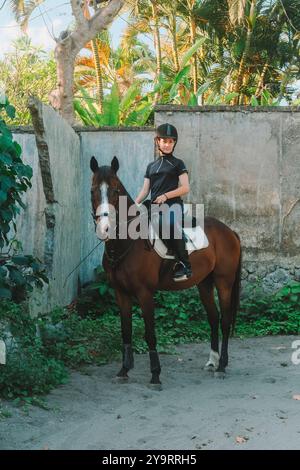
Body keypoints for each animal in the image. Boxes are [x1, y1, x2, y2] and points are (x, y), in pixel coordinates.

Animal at [89, 157, 241, 386]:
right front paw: (124, 370)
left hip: (224, 282)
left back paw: (222, 366)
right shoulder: (121, 293)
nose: (104, 229)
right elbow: (125, 331)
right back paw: (212, 362)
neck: (128, 242)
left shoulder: (145, 293)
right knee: (213, 318)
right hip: (204, 283)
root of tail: (229, 231)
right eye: (93, 190)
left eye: (115, 191)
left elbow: (150, 334)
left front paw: (155, 374)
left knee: (224, 320)